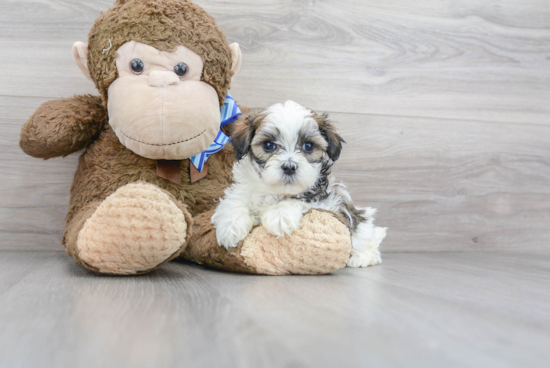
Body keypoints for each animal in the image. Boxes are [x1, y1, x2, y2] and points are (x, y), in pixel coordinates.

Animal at [212, 100, 388, 268]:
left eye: (308, 146)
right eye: (268, 145)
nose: (289, 167)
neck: (276, 191)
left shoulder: (325, 201)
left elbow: (298, 199)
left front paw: (280, 216)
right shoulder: (243, 188)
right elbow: (234, 200)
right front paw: (231, 226)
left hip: (359, 221)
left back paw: (362, 257)